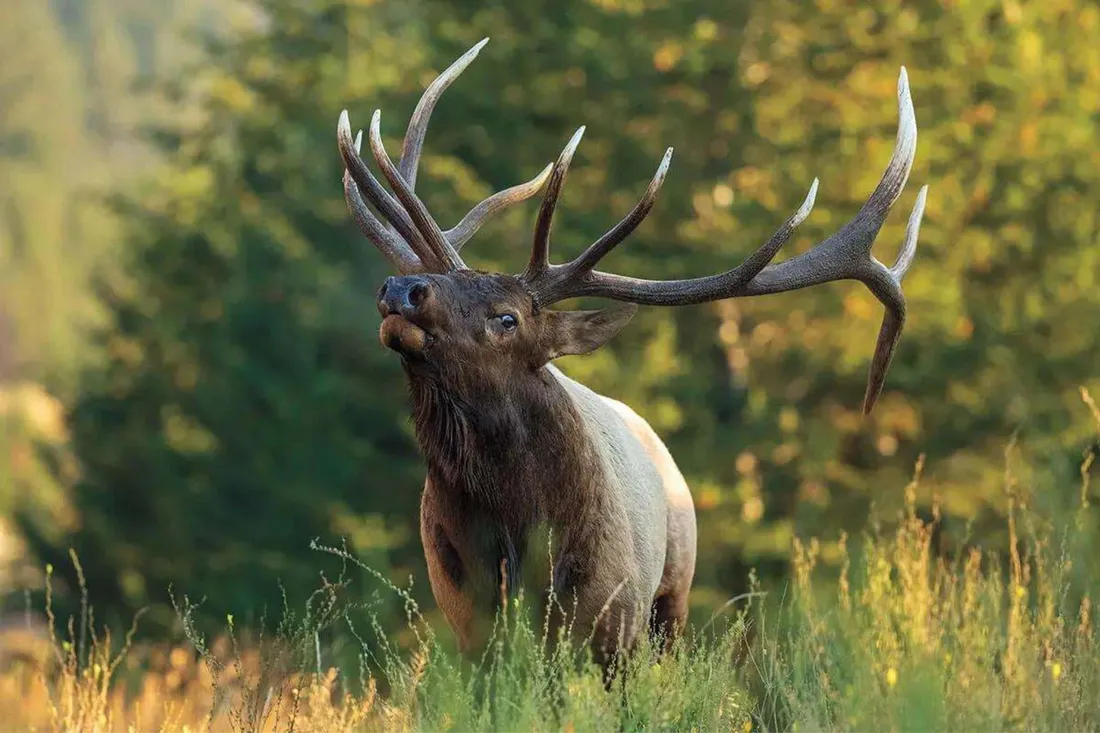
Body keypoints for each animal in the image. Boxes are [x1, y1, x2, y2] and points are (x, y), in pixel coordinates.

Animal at [335, 39, 927, 668]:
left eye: (507, 317)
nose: (403, 288)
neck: (519, 542)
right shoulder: (468, 623)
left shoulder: (614, 622)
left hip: (673, 590)